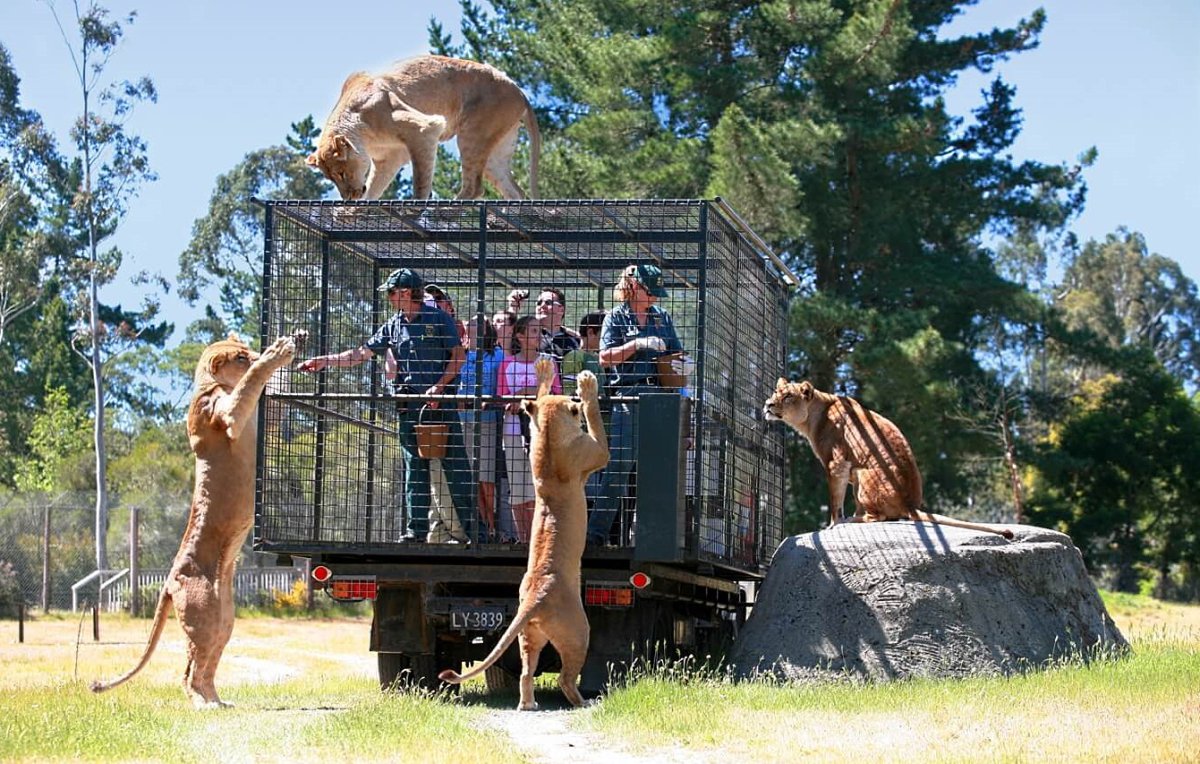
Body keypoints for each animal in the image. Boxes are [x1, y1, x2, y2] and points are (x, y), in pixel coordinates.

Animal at [91, 333, 297, 710]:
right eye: (242, 357)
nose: (256, 351)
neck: (210, 384)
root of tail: (170, 580)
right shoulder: (226, 415)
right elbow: (249, 385)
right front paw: (276, 354)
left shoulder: (261, 419)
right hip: (203, 615)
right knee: (188, 671)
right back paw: (204, 705)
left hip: (223, 619)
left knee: (205, 667)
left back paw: (219, 701)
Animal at [439, 357, 609, 710]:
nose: (573, 390)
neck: (549, 438)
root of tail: (534, 598)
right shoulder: (595, 454)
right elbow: (596, 423)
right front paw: (587, 387)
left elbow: (534, 404)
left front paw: (543, 371)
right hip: (579, 631)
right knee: (564, 678)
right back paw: (584, 703)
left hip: (529, 637)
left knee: (525, 672)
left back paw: (527, 704)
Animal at [758, 376, 1012, 537]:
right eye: (774, 392)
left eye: (788, 397)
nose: (768, 404)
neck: (814, 415)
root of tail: (910, 504)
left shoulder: (837, 463)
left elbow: (834, 501)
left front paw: (832, 525)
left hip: (863, 472)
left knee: (878, 516)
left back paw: (852, 521)